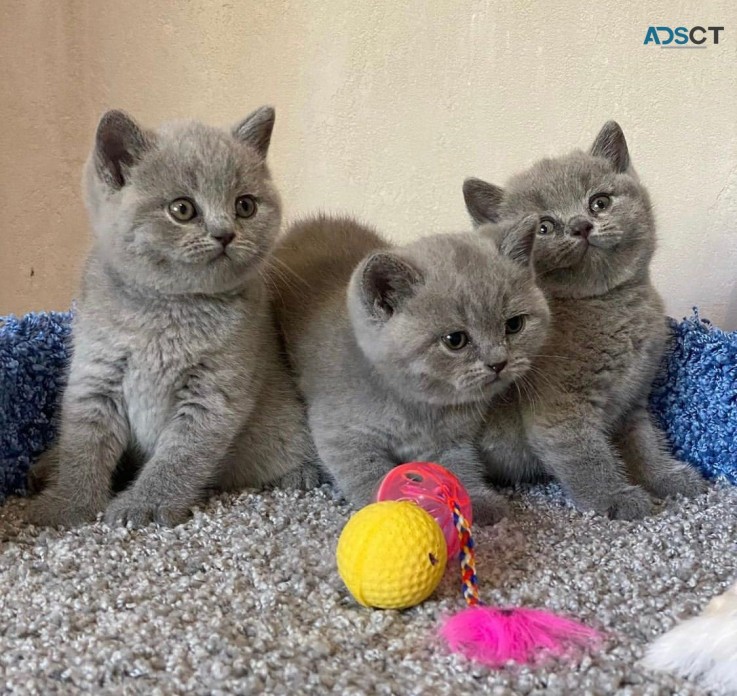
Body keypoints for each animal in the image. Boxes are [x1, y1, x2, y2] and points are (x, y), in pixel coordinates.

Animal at [25, 104, 320, 528]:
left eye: (245, 206)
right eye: (182, 209)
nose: (225, 233)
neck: (167, 309)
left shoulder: (214, 391)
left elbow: (179, 457)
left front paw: (144, 505)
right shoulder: (96, 374)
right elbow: (83, 447)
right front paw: (66, 507)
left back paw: (299, 473)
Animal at [462, 122, 704, 520]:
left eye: (599, 203)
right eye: (544, 227)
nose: (580, 225)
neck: (608, 304)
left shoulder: (631, 401)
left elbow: (644, 444)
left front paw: (669, 478)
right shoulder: (560, 410)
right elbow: (587, 457)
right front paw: (616, 498)